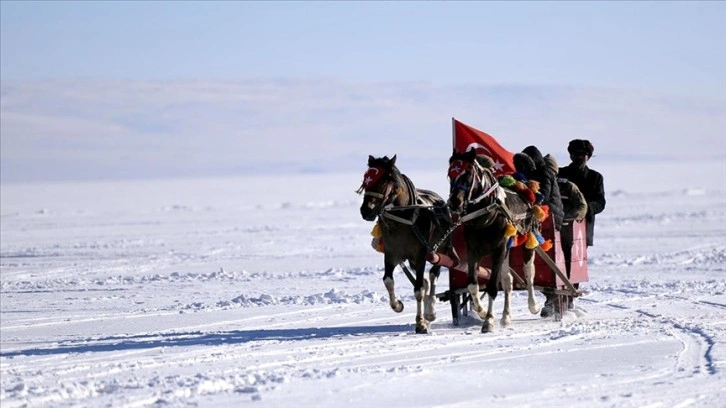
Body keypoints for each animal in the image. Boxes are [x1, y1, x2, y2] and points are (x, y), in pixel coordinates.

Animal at [356, 155, 450, 334]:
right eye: (365, 180)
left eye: (384, 181)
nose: (366, 210)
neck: (403, 220)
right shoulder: (392, 254)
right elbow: (388, 281)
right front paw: (398, 305)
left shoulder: (420, 256)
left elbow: (419, 289)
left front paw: (421, 323)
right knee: (425, 281)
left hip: (441, 249)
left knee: (433, 275)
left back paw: (430, 311)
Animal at [446, 149, 544, 332]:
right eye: (450, 174)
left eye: (467, 173)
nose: (454, 202)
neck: (487, 214)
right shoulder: (473, 251)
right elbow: (472, 285)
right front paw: (482, 312)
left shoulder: (498, 250)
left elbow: (492, 287)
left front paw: (489, 320)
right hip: (507, 249)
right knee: (508, 280)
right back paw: (506, 317)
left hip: (527, 242)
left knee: (529, 273)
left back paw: (533, 305)